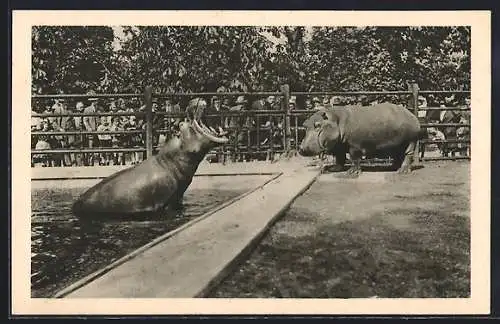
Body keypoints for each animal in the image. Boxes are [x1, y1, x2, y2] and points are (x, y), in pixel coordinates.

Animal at [298, 102, 428, 177]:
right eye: (304, 125)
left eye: (317, 125)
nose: (302, 149)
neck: (336, 120)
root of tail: (413, 116)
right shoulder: (340, 145)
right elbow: (340, 158)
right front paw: (333, 169)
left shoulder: (354, 146)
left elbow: (354, 158)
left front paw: (351, 173)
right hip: (397, 144)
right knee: (398, 154)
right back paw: (394, 167)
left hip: (411, 140)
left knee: (408, 154)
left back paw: (402, 171)